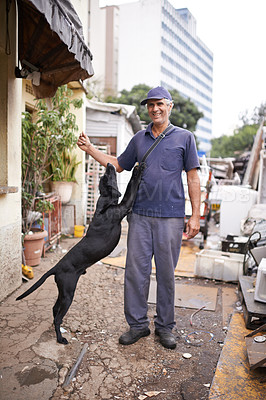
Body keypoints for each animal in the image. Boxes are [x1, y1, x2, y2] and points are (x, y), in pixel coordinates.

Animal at [16, 162, 145, 344]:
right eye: (107, 175)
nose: (110, 164)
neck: (105, 203)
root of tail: (56, 267)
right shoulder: (125, 205)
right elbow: (130, 188)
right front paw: (137, 170)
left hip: (63, 292)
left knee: (54, 309)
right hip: (68, 293)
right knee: (58, 316)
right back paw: (60, 338)